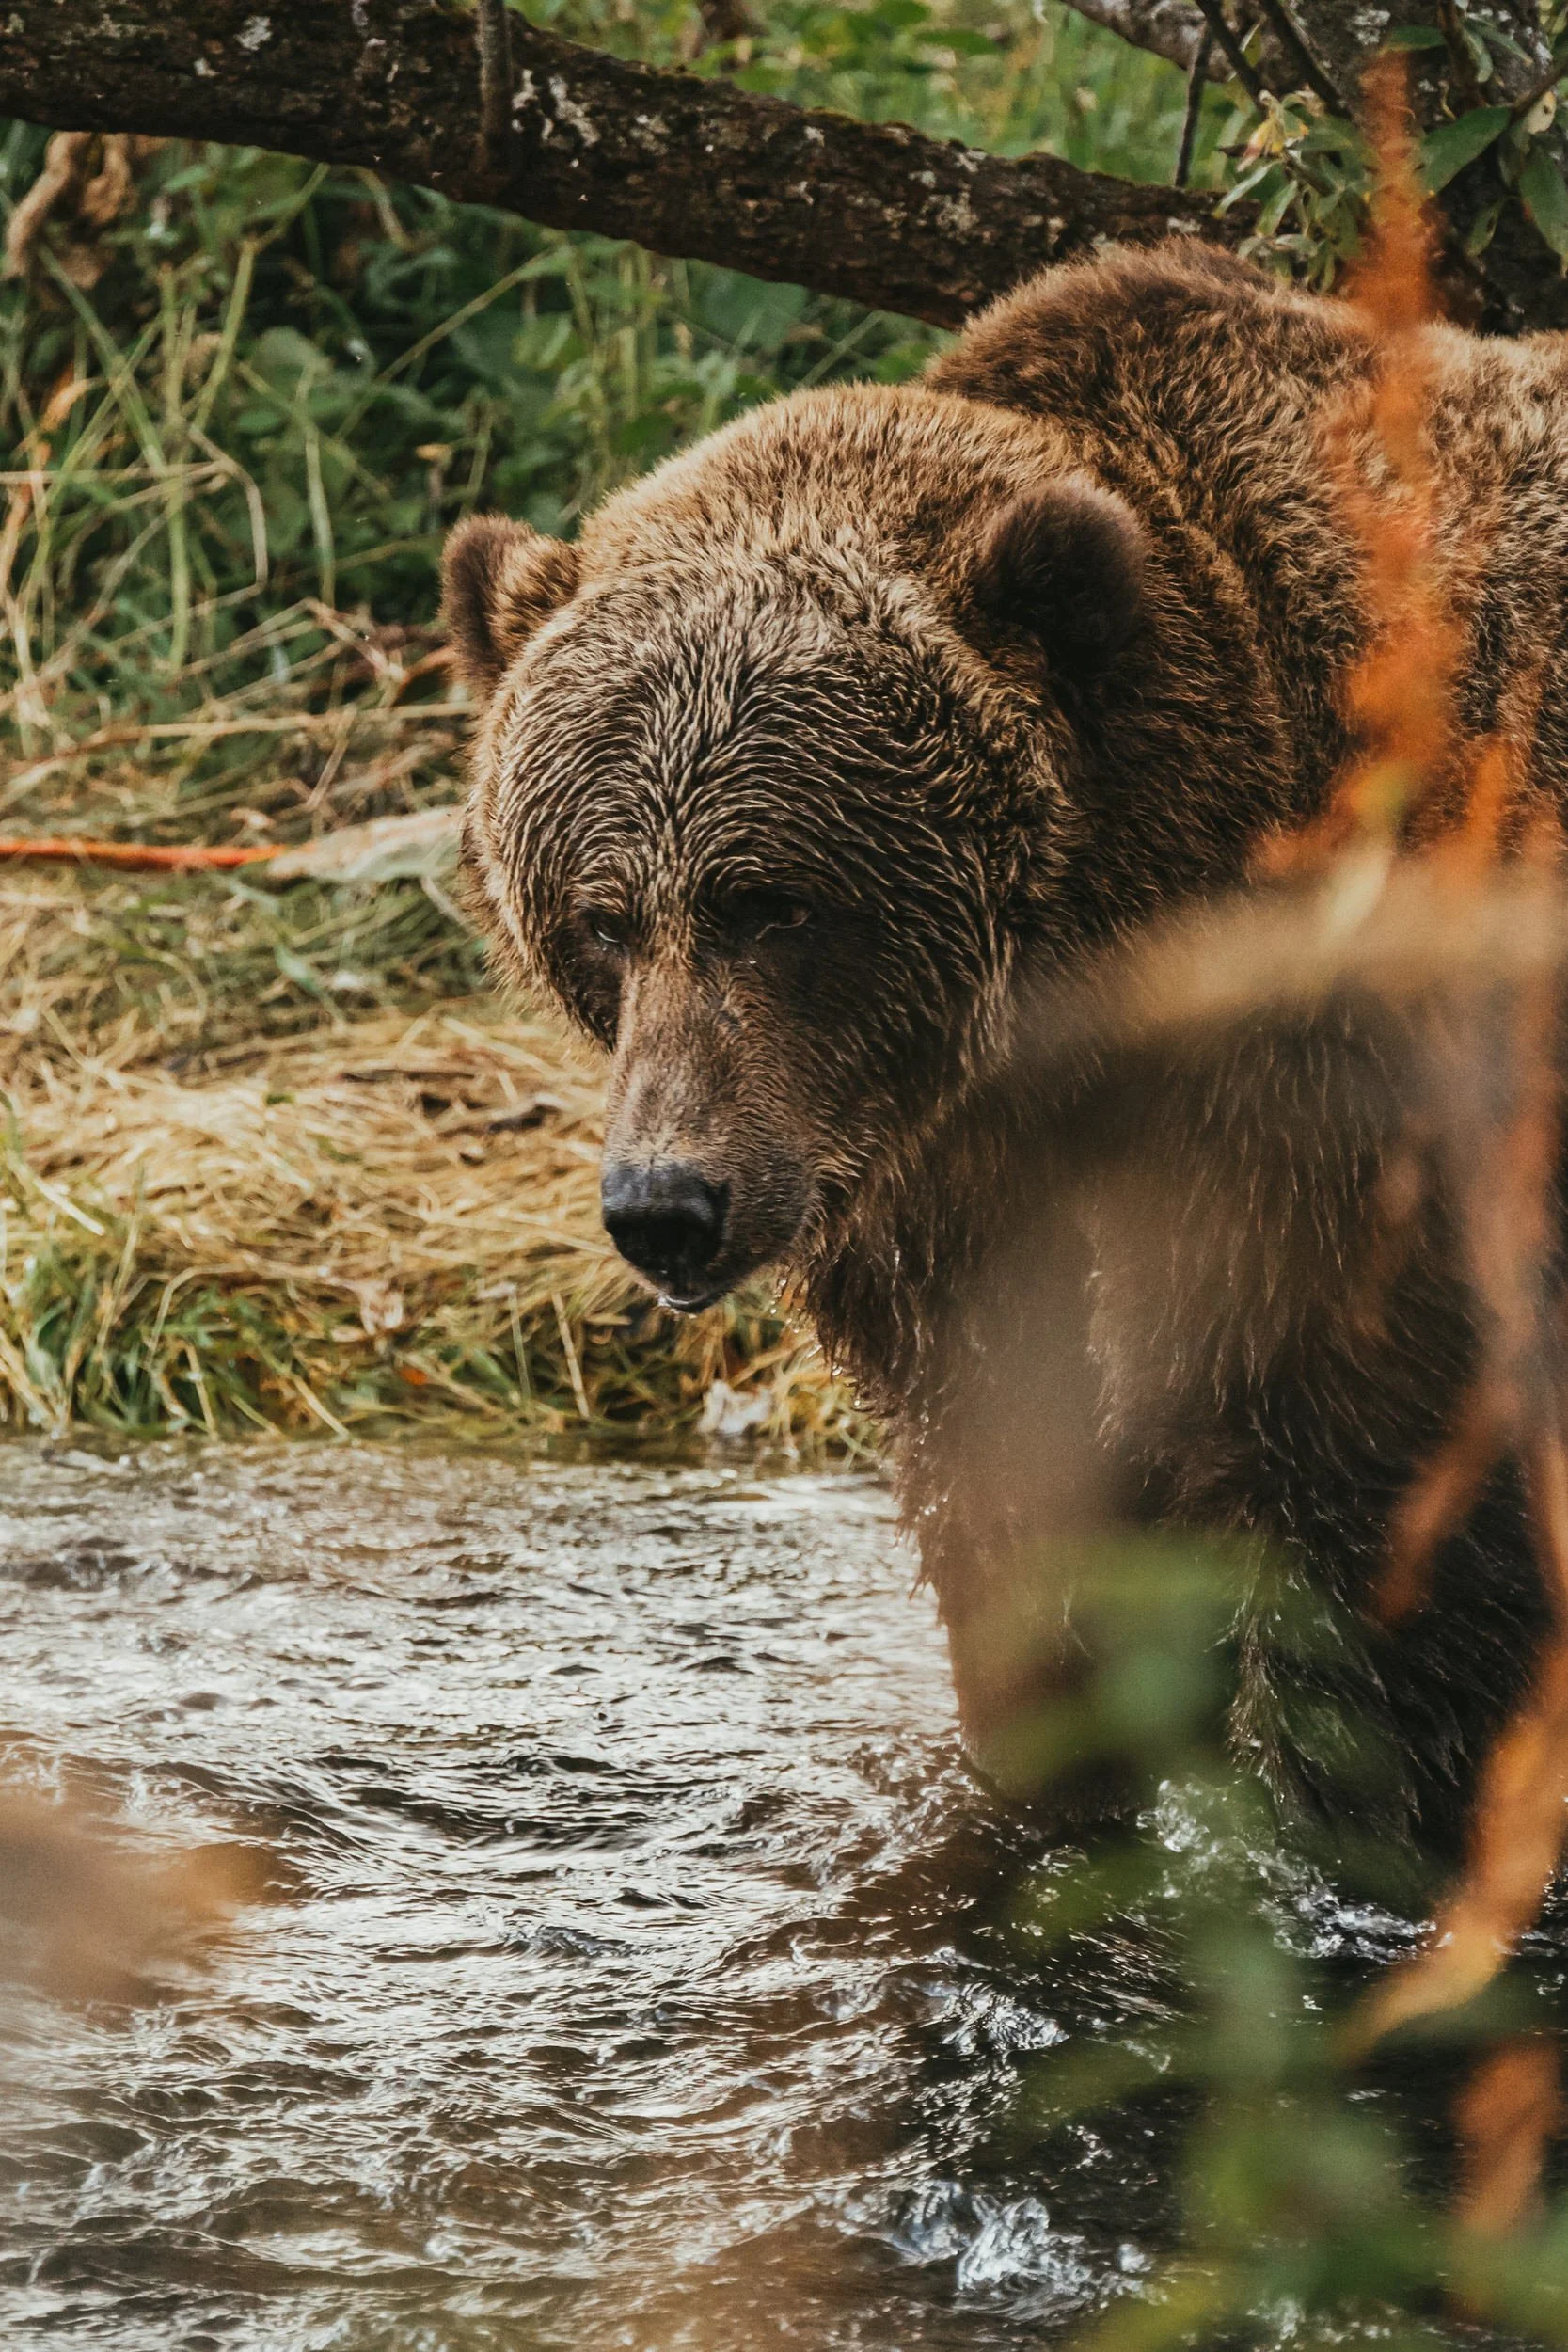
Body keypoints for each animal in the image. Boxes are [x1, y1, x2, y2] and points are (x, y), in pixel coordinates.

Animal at [442, 241, 1568, 1873]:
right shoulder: (945, 1214)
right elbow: (1019, 1528)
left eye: (769, 903)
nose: (667, 1203)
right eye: (602, 918)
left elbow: (1397, 1561)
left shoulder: (1345, 1132)